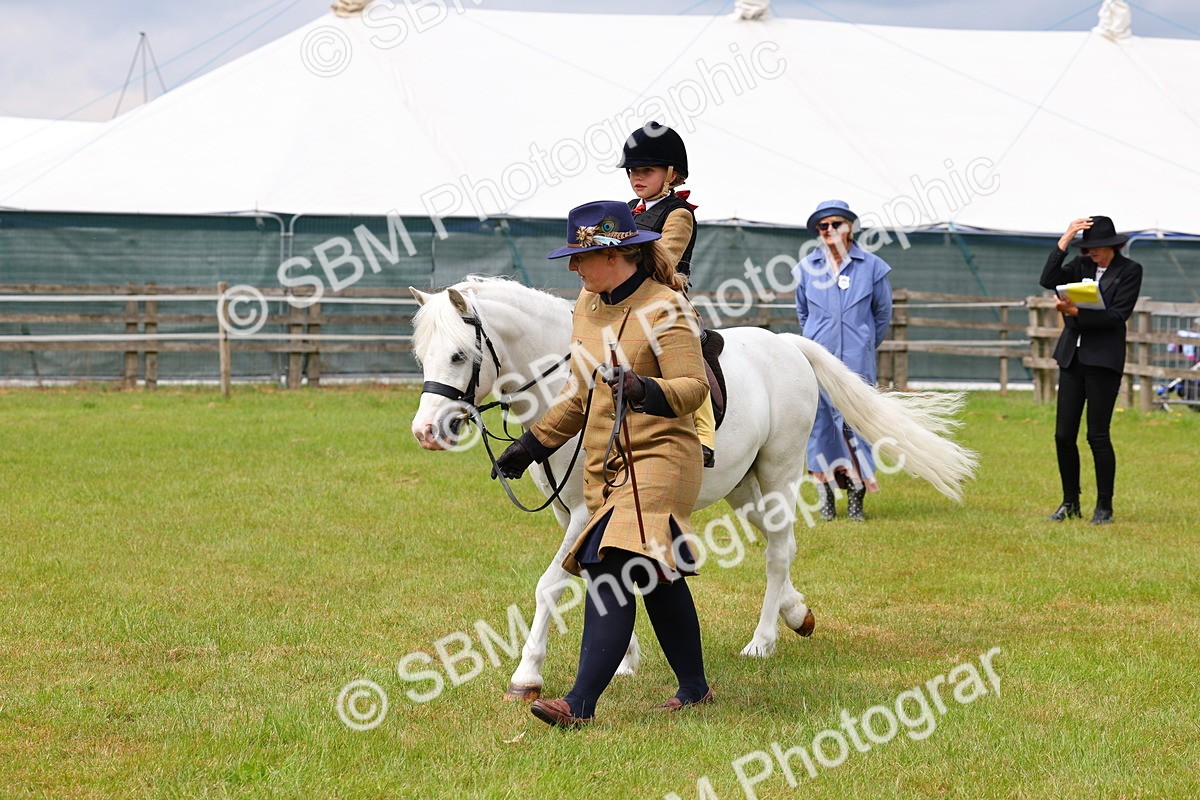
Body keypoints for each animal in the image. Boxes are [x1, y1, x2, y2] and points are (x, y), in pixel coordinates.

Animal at [409, 276, 976, 701]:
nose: (426, 431)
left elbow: (550, 584)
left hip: (779, 472)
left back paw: (763, 641)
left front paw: (527, 674)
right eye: (421, 355)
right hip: (743, 487)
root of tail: (786, 344)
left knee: (778, 549)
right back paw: (796, 613)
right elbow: (599, 575)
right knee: (777, 545)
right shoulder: (573, 514)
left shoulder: (584, 514)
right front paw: (624, 661)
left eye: (458, 356)